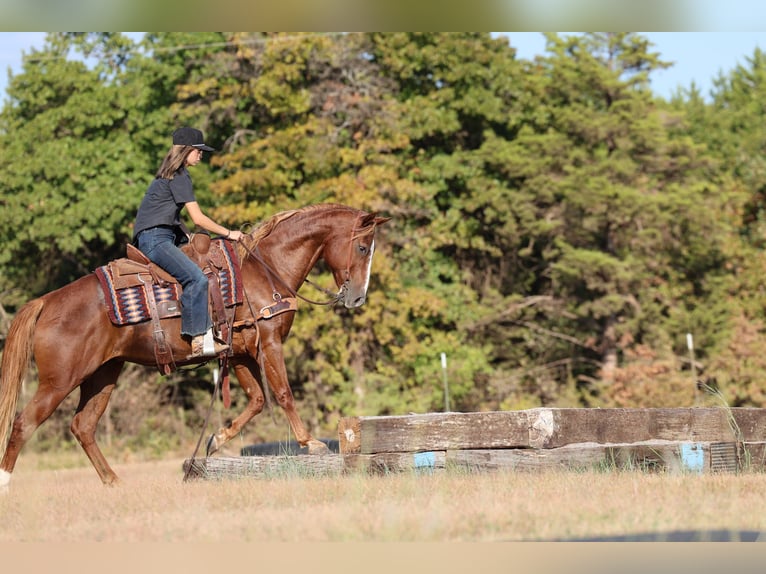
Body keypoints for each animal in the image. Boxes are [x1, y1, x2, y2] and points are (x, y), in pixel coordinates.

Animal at [0, 203, 389, 490]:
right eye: (362, 247)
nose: (357, 297)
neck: (264, 270)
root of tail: (46, 301)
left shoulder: (241, 353)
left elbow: (257, 400)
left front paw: (216, 439)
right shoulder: (269, 344)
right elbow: (282, 394)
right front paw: (311, 443)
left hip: (103, 374)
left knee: (83, 426)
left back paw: (114, 482)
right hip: (59, 381)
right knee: (23, 424)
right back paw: (7, 483)